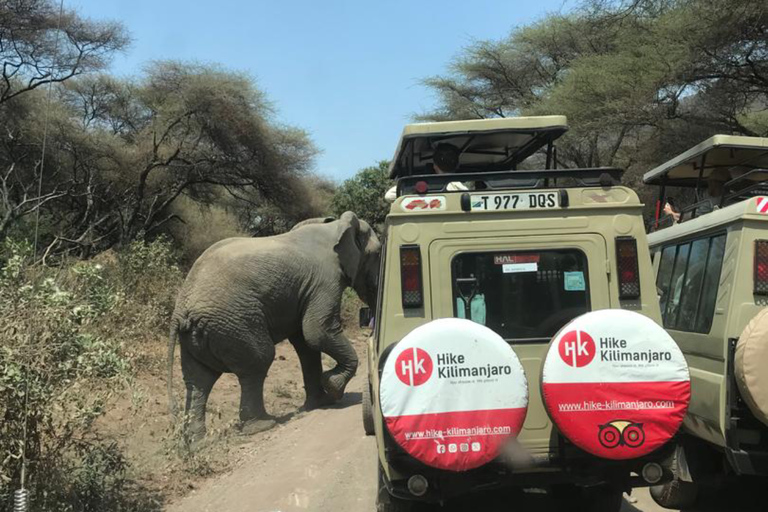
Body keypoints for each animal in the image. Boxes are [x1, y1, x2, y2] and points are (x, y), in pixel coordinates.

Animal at [167, 211, 381, 443]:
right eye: (378, 253)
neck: (334, 226)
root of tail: (181, 311)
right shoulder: (325, 280)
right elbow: (316, 332)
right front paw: (333, 388)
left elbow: (305, 344)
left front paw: (322, 402)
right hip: (235, 322)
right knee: (258, 362)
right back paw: (263, 425)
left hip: (200, 335)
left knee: (199, 380)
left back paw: (198, 443)